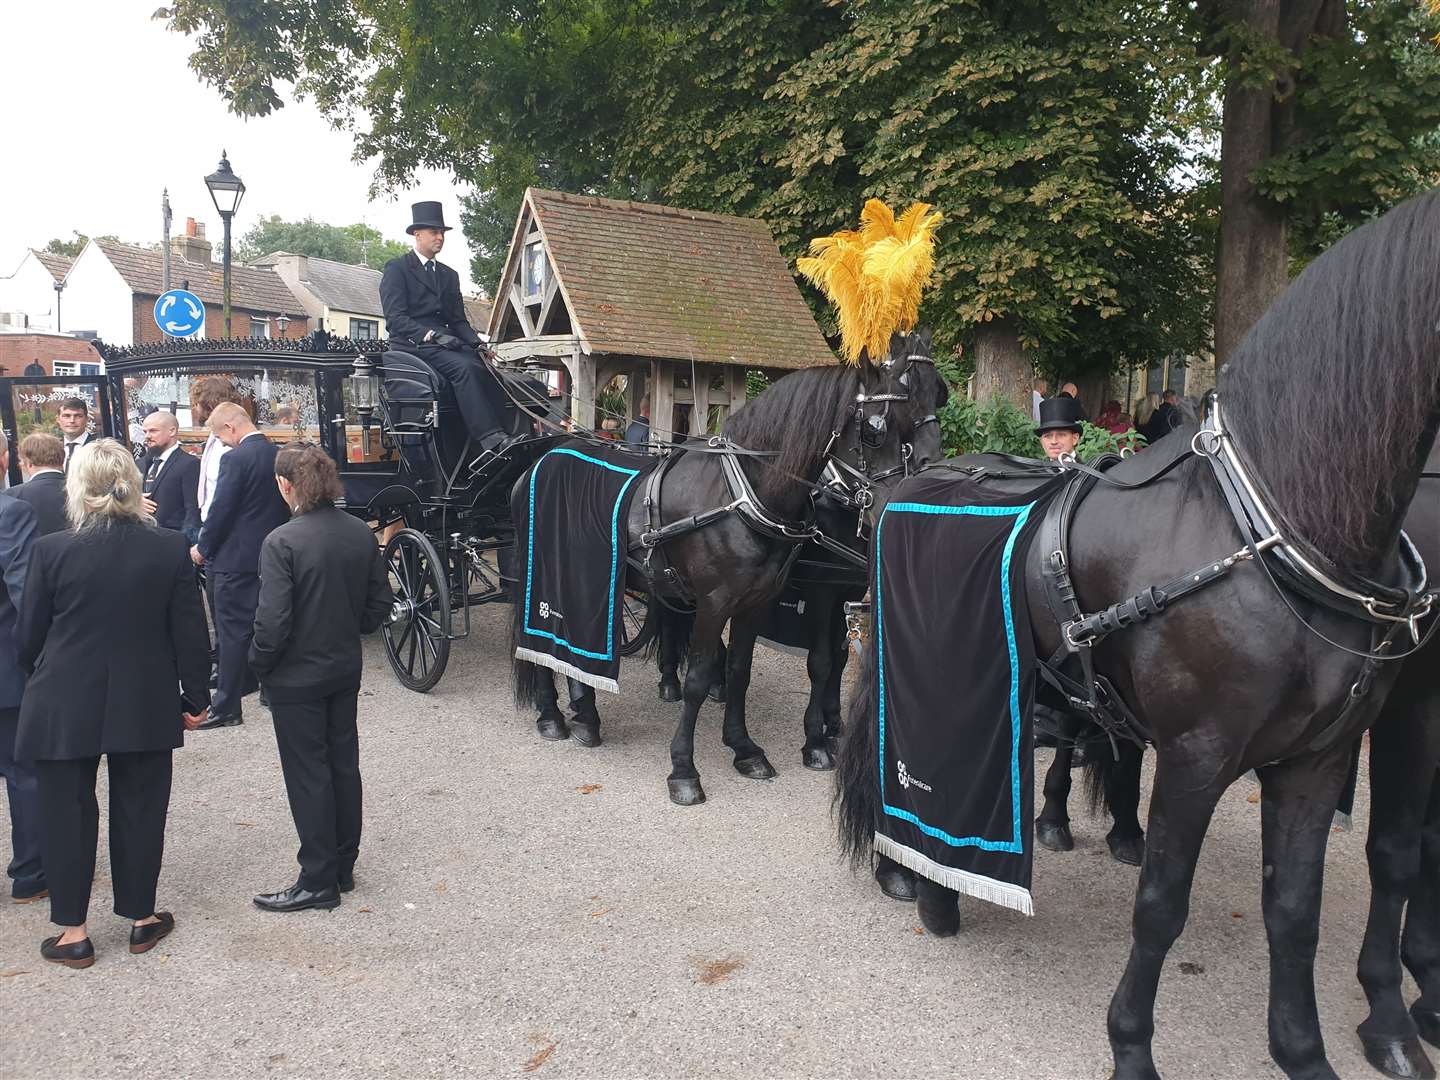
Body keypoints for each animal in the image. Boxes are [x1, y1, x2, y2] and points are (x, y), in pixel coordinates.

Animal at [515, 334, 944, 806]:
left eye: (931, 399)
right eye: (874, 430)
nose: (898, 499)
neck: (743, 496)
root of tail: (540, 459)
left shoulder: (760, 602)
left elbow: (743, 670)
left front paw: (746, 747)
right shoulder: (726, 602)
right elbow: (709, 677)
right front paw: (685, 769)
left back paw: (586, 711)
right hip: (544, 574)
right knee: (537, 641)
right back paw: (552, 714)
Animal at [835, 188, 1440, 1080]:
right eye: (871, 421)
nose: (870, 468)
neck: (1275, 529)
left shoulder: (1319, 759)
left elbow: (1296, 908)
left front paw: (1307, 1048)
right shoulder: (1197, 756)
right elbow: (1161, 906)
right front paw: (1130, 1046)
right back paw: (921, 879)